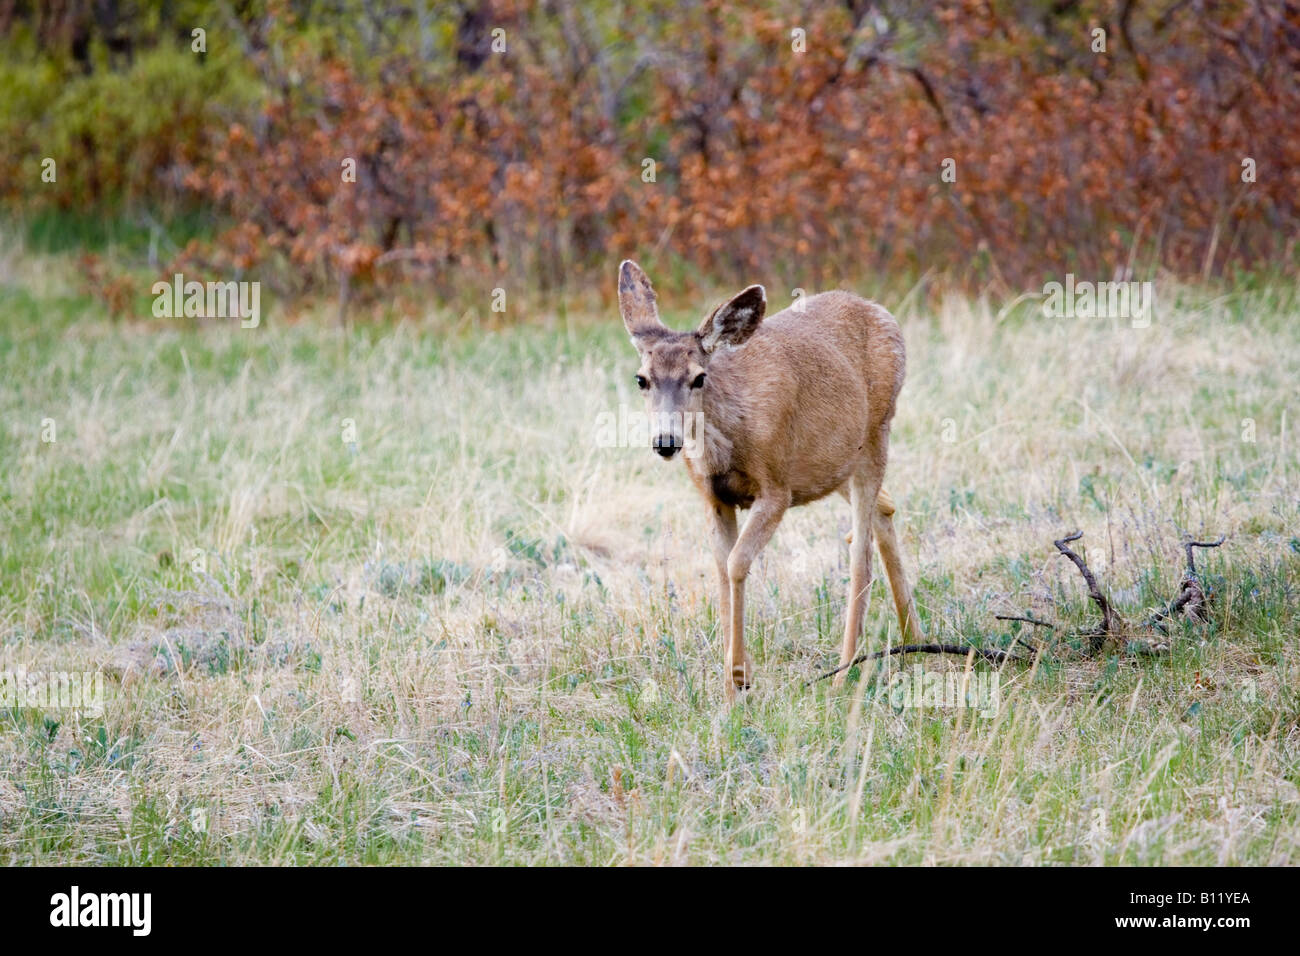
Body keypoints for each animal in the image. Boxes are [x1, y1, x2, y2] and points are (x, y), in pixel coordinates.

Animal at [617, 259, 923, 702]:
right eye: (641, 379)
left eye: (698, 378)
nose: (666, 441)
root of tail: (880, 311)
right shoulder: (714, 499)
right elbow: (720, 568)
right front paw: (730, 688)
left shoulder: (777, 487)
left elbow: (737, 564)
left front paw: (740, 678)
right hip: (836, 463)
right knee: (885, 508)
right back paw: (913, 638)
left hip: (876, 434)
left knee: (860, 552)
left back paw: (845, 669)